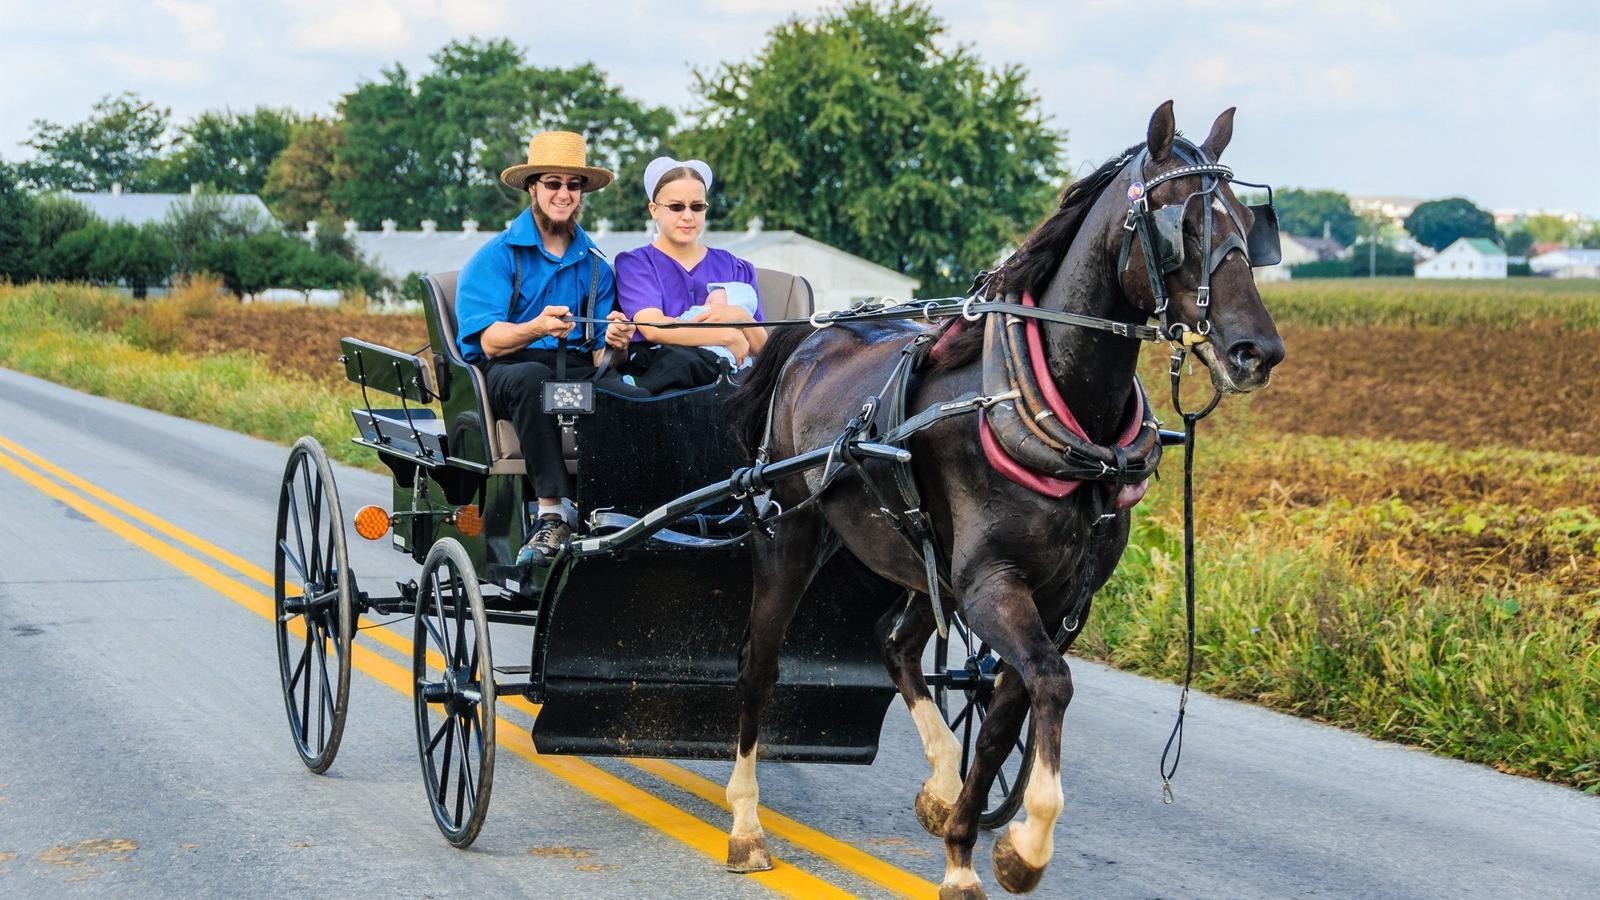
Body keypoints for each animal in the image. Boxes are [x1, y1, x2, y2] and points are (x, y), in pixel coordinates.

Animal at [720, 101, 1280, 890]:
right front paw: (1022, 845)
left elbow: (1007, 711)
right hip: (789, 536)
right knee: (757, 668)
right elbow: (1052, 683)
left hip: (919, 560)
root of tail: (810, 337)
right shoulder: (992, 584)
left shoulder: (1062, 599)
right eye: (1179, 221)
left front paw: (966, 840)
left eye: (1247, 220)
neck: (1059, 411)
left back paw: (941, 785)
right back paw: (745, 824)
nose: (1257, 351)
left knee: (894, 643)